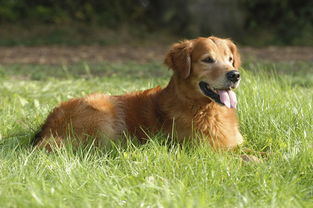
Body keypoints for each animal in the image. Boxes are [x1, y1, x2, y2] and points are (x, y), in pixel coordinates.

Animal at [31, 36, 243, 151]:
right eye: (208, 60)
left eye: (230, 59)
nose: (235, 75)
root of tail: (48, 124)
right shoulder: (204, 149)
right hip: (103, 111)